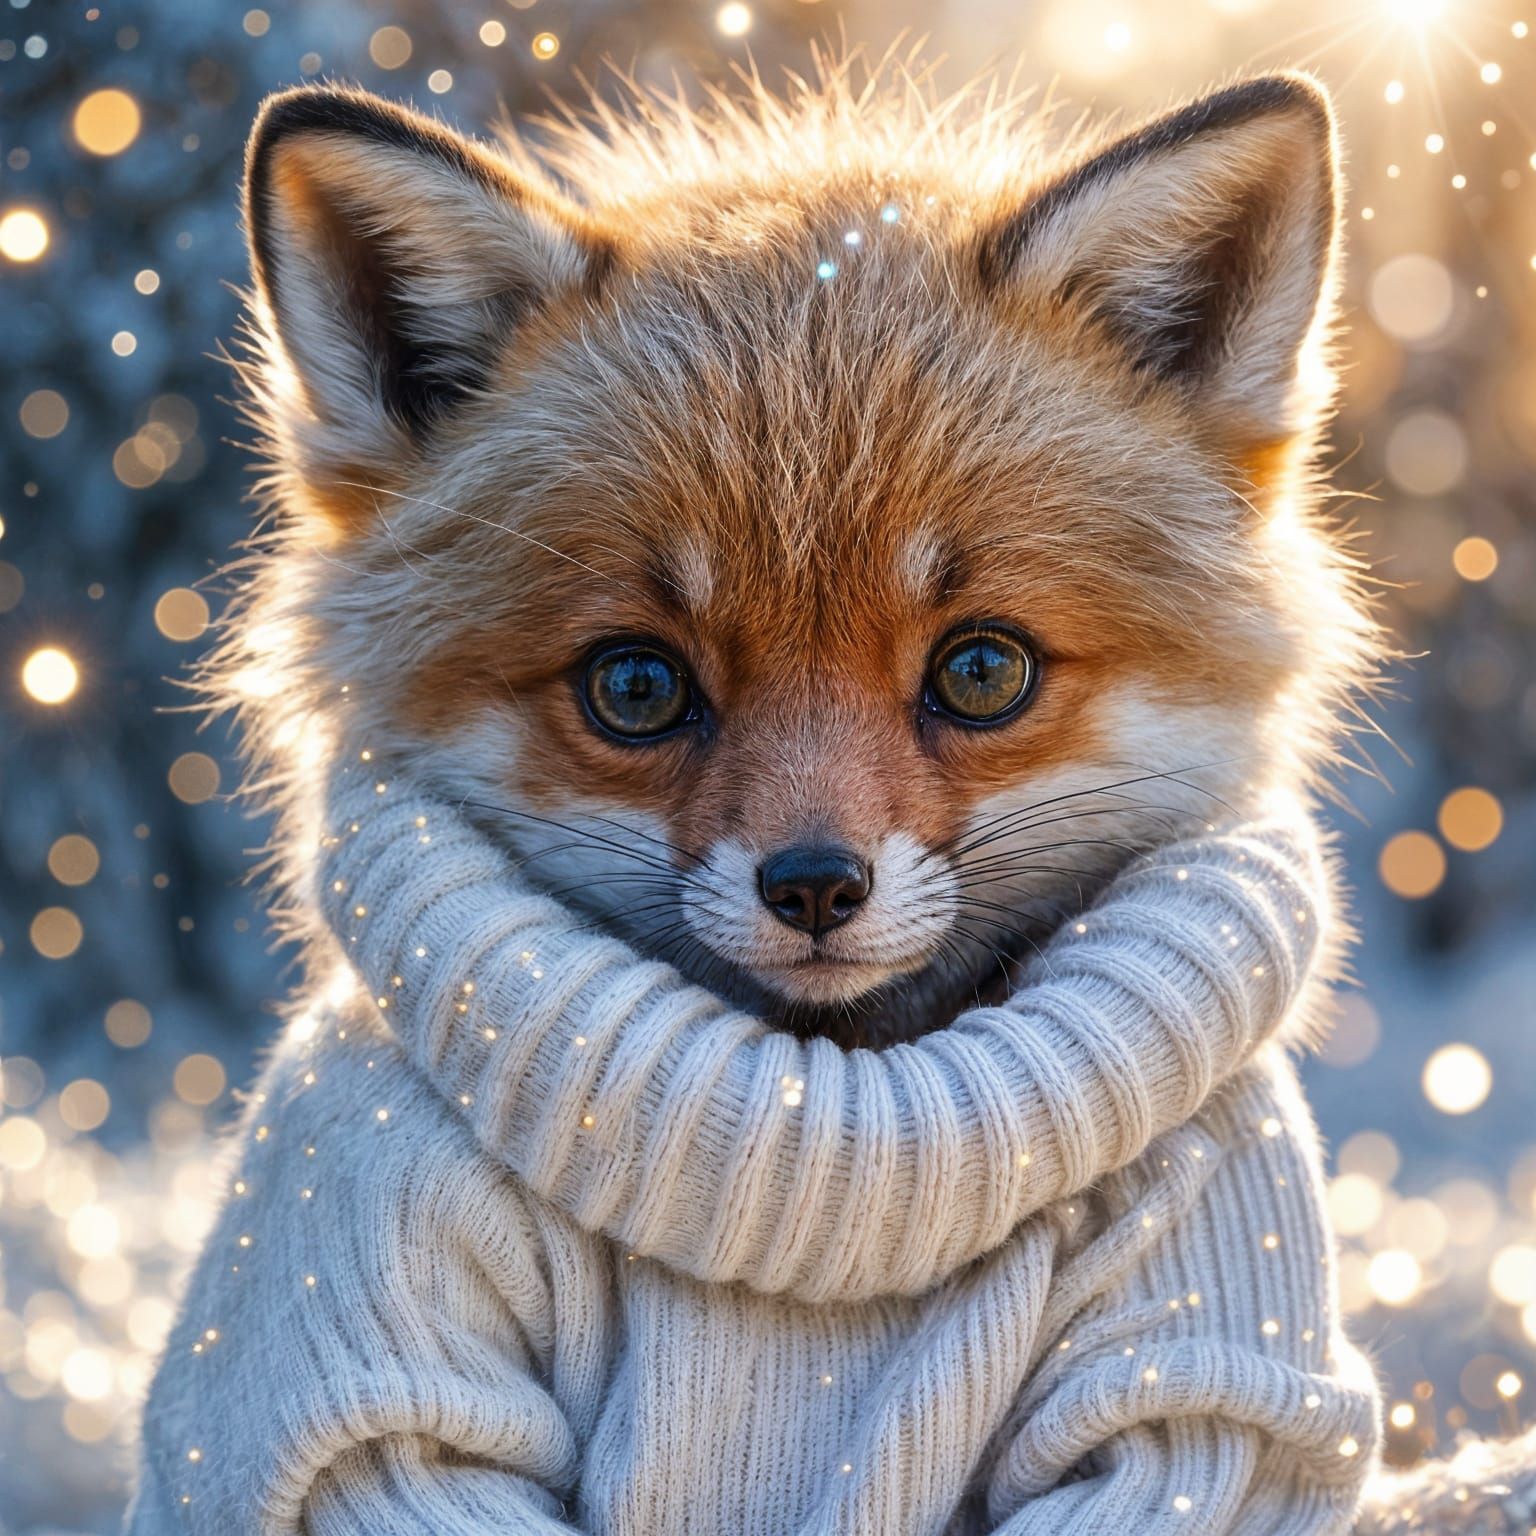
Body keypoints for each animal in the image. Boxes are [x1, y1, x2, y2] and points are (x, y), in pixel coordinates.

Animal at [130, 52, 1536, 1536]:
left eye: (981, 670)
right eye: (637, 687)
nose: (813, 887)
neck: (826, 1138)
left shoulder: (1198, 1337)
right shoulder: (366, 1268)